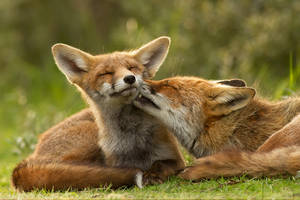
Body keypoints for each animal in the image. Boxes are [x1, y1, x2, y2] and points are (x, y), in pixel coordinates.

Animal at [11, 36, 185, 191]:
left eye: (132, 68)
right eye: (106, 73)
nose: (130, 78)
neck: (132, 139)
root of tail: (31, 156)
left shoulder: (176, 159)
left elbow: (160, 163)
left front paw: (153, 174)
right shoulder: (115, 162)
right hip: (91, 136)